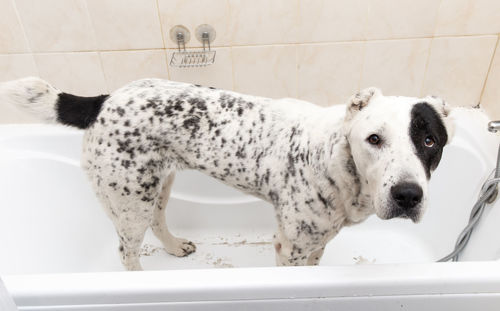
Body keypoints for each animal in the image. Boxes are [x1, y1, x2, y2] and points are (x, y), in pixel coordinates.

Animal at [0, 77, 454, 270]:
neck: (336, 157)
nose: (408, 195)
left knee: (159, 220)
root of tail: (103, 100)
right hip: (128, 200)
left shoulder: (317, 243)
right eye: (374, 139)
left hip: (158, 183)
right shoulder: (290, 247)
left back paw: (175, 247)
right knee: (127, 251)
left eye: (430, 141)